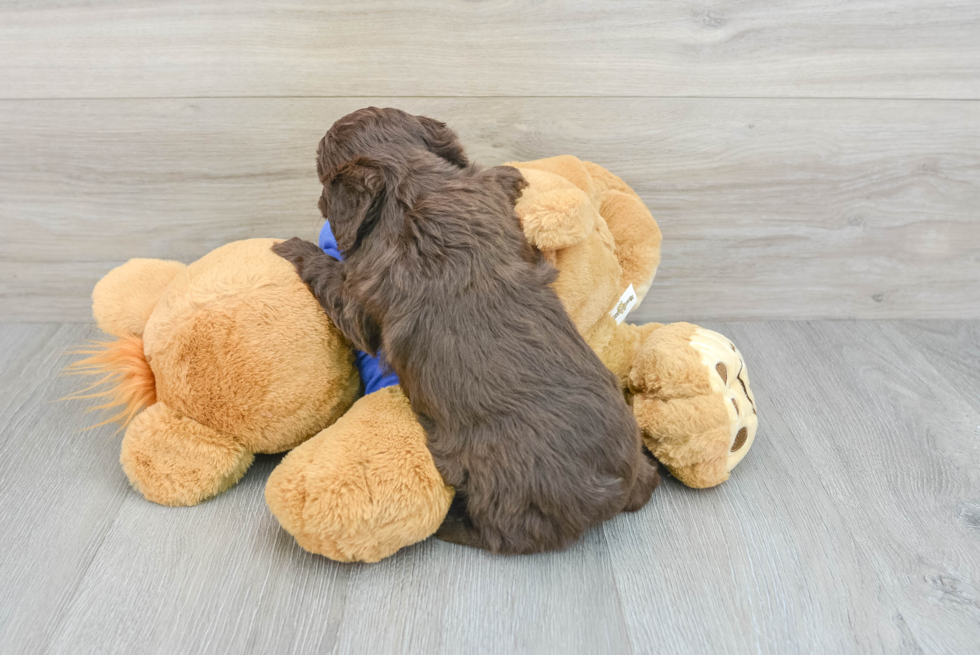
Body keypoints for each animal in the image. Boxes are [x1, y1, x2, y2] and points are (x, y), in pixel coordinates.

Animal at [276, 107, 660, 552]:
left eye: (322, 178)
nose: (319, 203)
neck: (409, 183)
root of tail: (613, 488)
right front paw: (511, 174)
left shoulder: (360, 301)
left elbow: (332, 281)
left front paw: (293, 247)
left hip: (502, 498)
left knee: (493, 531)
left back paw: (448, 524)